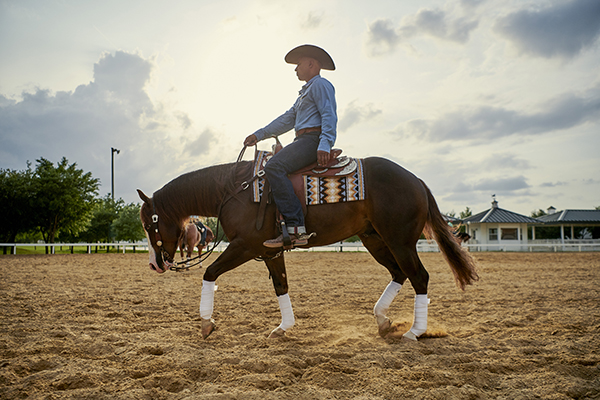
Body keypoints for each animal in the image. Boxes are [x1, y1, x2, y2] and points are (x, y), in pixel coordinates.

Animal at [137, 156, 478, 340]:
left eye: (150, 223)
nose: (154, 264)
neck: (235, 190)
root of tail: (415, 179)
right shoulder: (269, 251)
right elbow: (281, 286)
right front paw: (283, 327)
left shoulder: (245, 246)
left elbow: (209, 273)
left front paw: (207, 324)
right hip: (376, 240)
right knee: (399, 273)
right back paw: (382, 320)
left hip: (400, 240)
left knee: (419, 277)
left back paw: (414, 332)